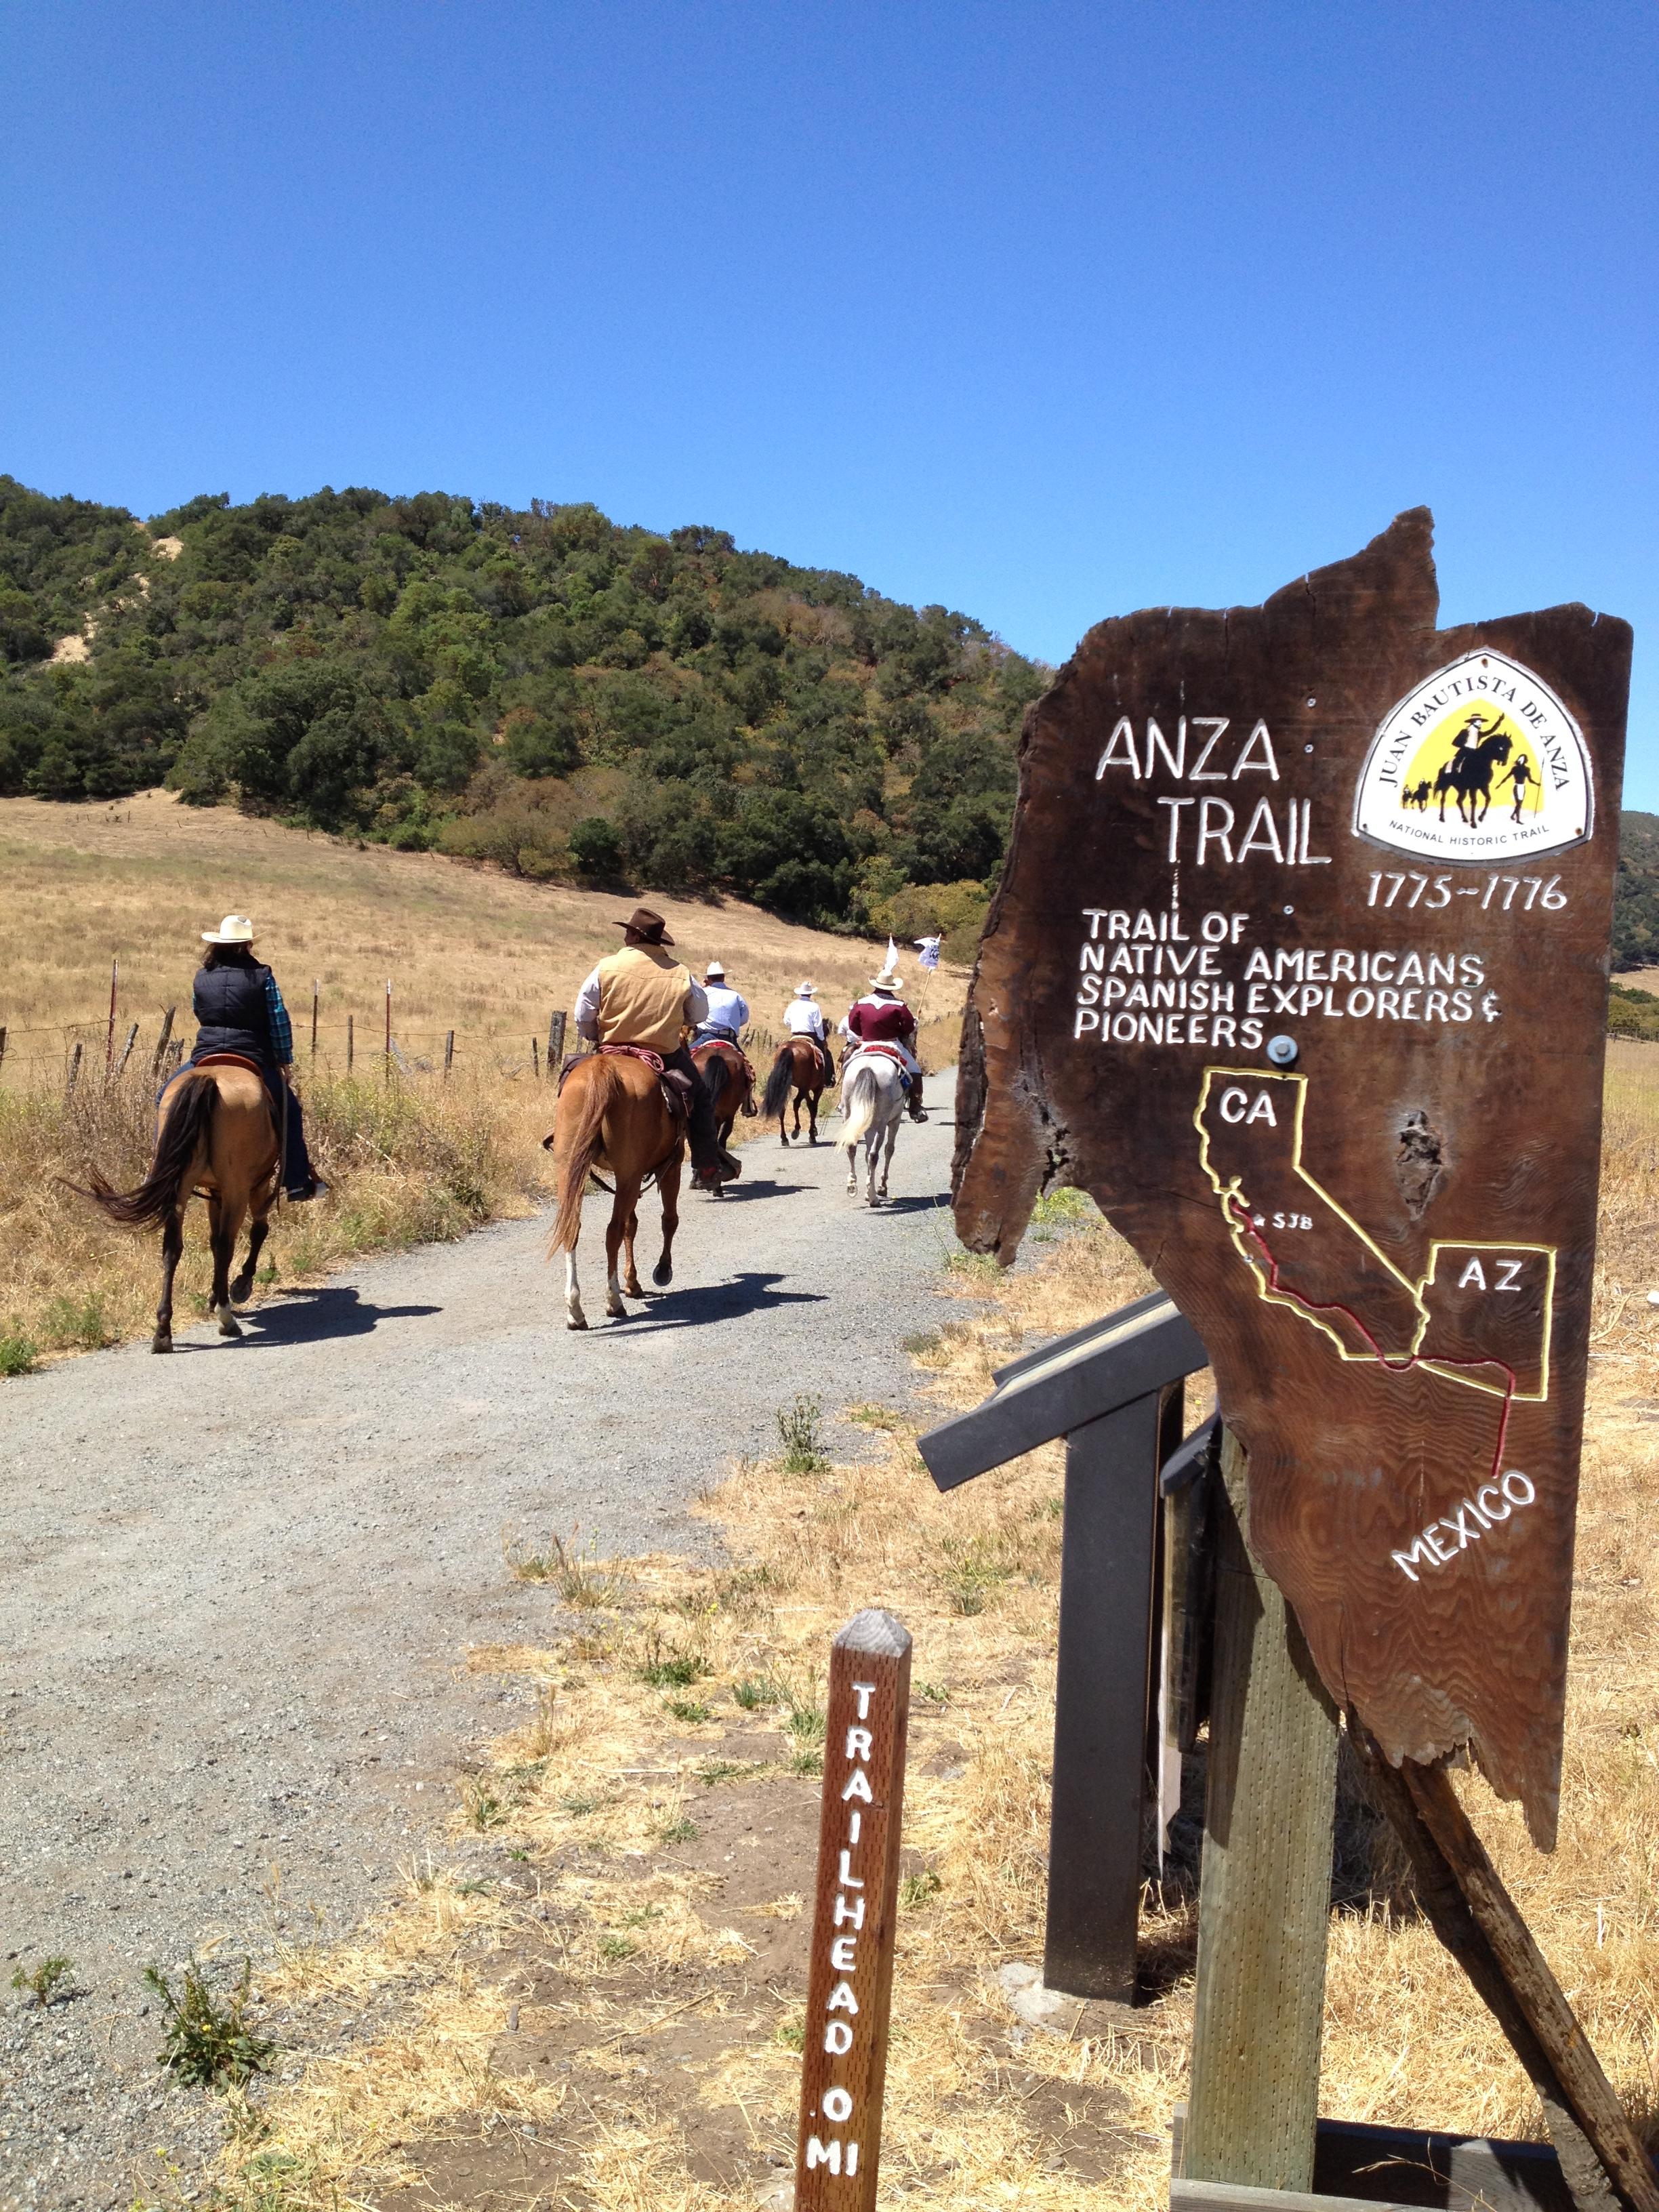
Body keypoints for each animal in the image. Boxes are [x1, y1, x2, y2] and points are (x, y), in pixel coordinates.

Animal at [75, 1057, 281, 1345]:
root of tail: (210, 1079)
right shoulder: (255, 1184)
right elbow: (257, 1231)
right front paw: (241, 1284)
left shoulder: (214, 1193)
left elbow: (213, 1242)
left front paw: (214, 1295)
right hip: (236, 1188)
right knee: (227, 1244)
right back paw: (226, 1318)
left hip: (181, 1187)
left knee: (172, 1248)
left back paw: (163, 1330)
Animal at [548, 1052, 685, 1327]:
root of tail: (603, 1068)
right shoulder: (672, 1166)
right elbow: (668, 1219)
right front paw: (662, 1269)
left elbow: (631, 1225)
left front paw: (632, 1281)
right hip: (629, 1177)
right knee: (613, 1231)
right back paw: (613, 1301)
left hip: (570, 1170)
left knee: (573, 1228)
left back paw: (575, 1311)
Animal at [760, 1035, 832, 1141]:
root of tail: (789, 1049)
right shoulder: (817, 1089)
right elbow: (813, 1107)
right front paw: (812, 1133)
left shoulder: (805, 1089)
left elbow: (809, 1105)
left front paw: (813, 1131)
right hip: (804, 1087)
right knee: (798, 1103)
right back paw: (797, 1130)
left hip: (787, 1085)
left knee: (783, 1107)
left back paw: (784, 1138)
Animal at [844, 1052, 911, 1212]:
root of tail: (868, 1067)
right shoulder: (895, 1121)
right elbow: (889, 1150)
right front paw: (881, 1187)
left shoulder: (868, 1126)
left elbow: (866, 1154)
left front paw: (869, 1189)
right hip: (881, 1124)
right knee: (875, 1155)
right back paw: (874, 1199)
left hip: (851, 1115)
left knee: (852, 1148)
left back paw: (852, 1186)